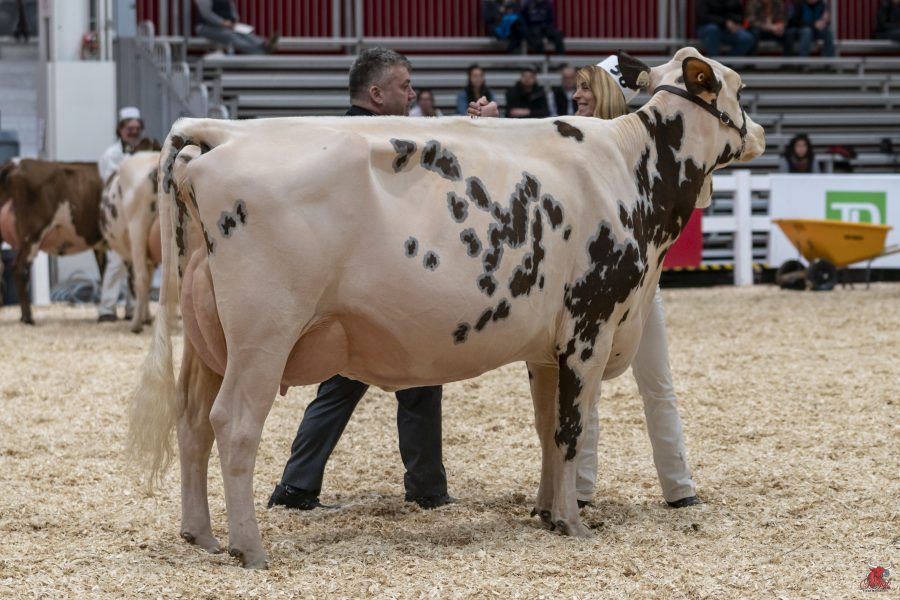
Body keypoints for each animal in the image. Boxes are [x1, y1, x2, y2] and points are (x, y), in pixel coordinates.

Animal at [100, 151, 163, 333]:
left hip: (138, 228)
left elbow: (138, 281)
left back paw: (135, 325)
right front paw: (147, 317)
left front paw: (142, 318)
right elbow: (149, 281)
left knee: (141, 278)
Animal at [128, 48, 765, 569]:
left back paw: (200, 535)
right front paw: (575, 524)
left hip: (208, 339)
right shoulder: (590, 327)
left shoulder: (547, 347)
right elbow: (571, 429)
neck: (631, 170)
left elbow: (545, 428)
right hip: (264, 333)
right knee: (234, 424)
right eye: (738, 87)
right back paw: (249, 548)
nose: (758, 131)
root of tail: (222, 134)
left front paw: (546, 513)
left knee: (191, 421)